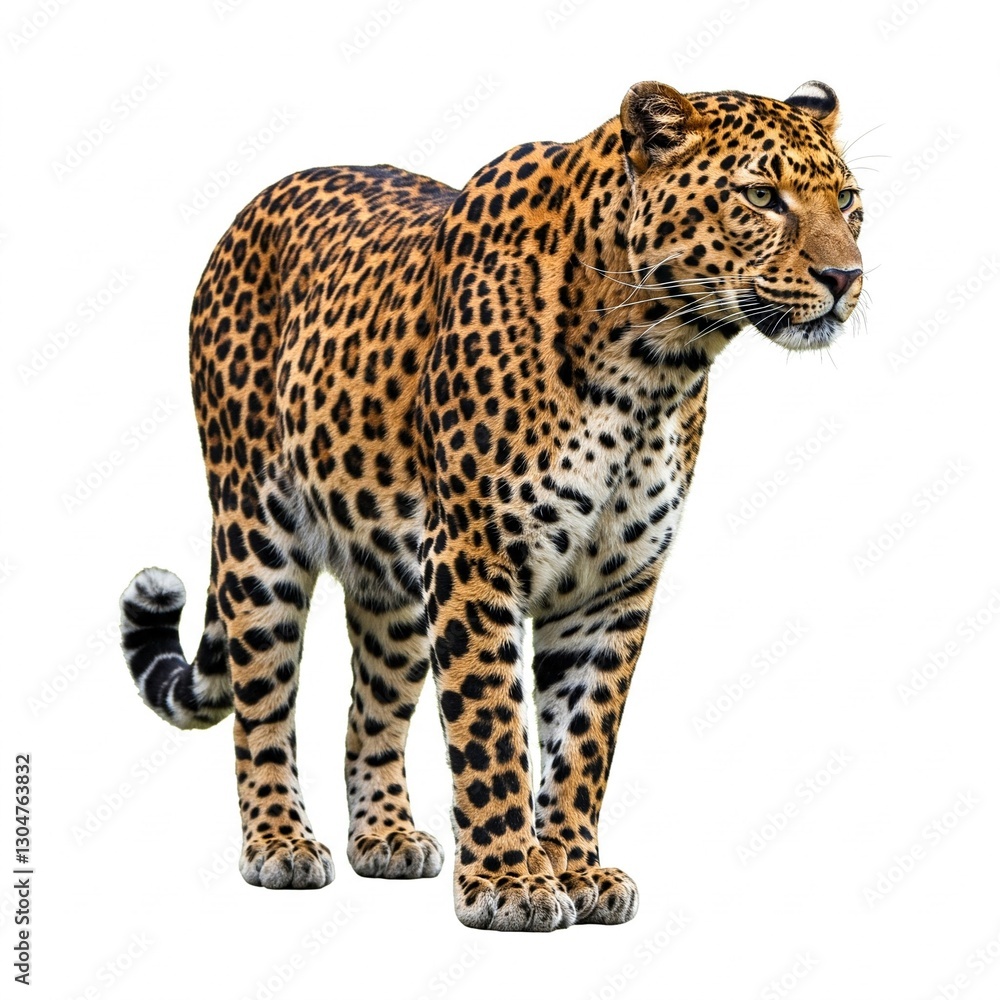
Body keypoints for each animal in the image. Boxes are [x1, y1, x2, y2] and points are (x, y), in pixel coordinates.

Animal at [119, 79, 864, 932]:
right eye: (761, 197)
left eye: (849, 202)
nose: (847, 277)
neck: (655, 366)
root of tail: (258, 203)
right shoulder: (478, 560)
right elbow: (491, 728)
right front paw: (511, 883)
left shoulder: (614, 585)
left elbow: (583, 739)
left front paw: (576, 868)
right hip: (258, 535)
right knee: (262, 707)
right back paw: (281, 842)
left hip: (394, 582)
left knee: (370, 715)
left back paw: (385, 836)